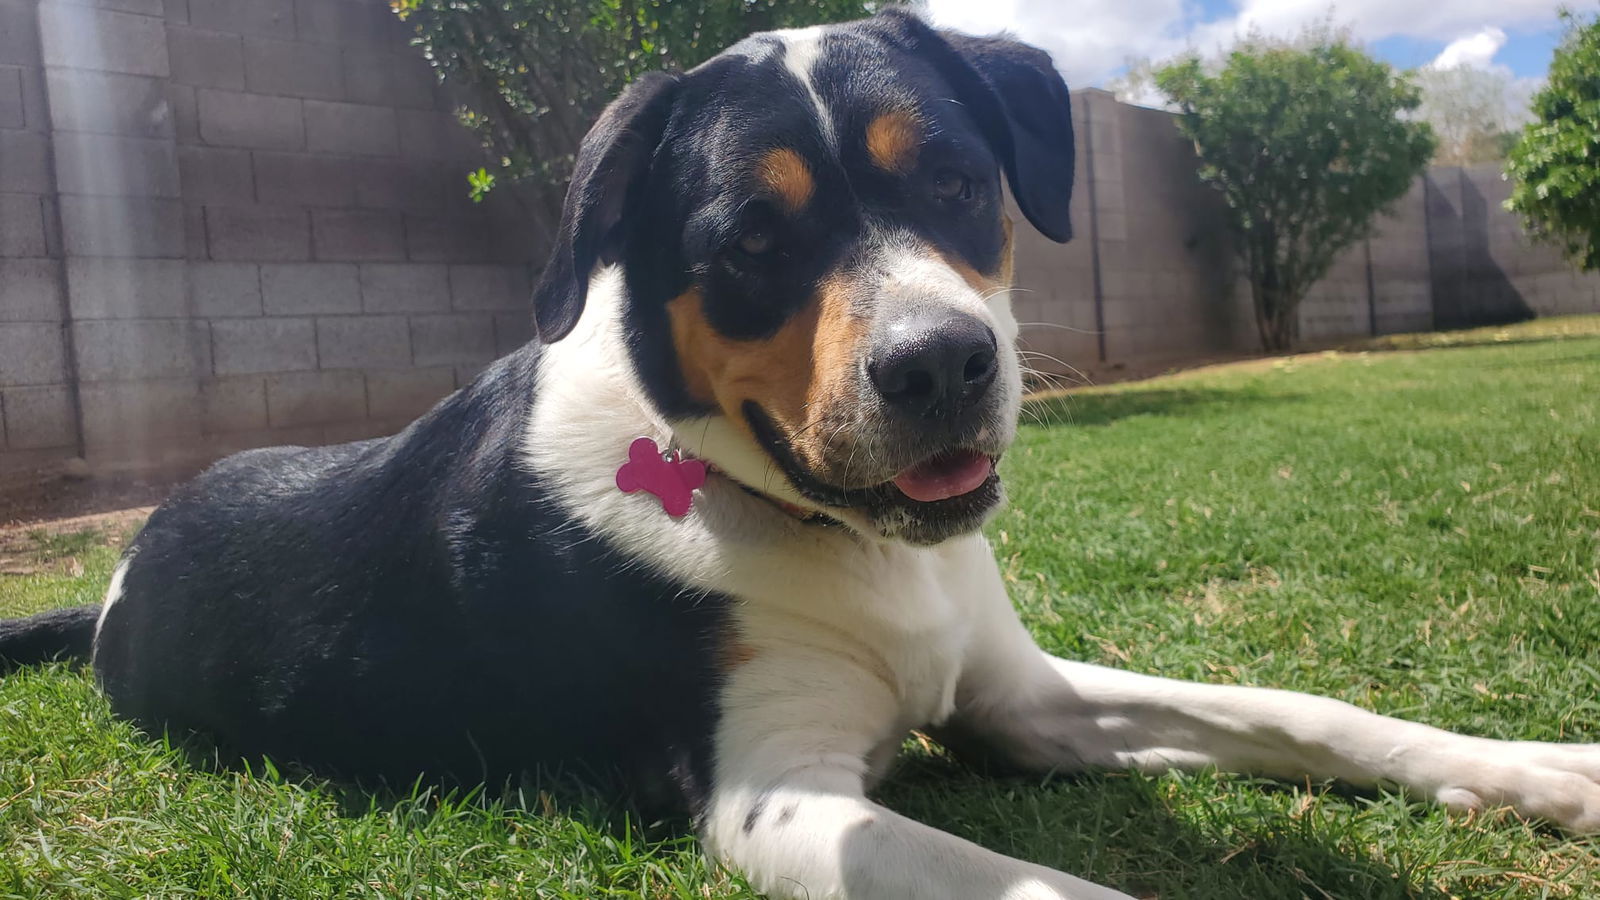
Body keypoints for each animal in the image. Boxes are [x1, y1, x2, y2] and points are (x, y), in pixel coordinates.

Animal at [3, 10, 1600, 890]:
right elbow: (1047, 893)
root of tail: (119, 575)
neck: (822, 529)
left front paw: (1543, 769)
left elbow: (1304, 713)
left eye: (955, 180)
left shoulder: (1023, 701)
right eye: (753, 242)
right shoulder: (780, 802)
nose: (940, 365)